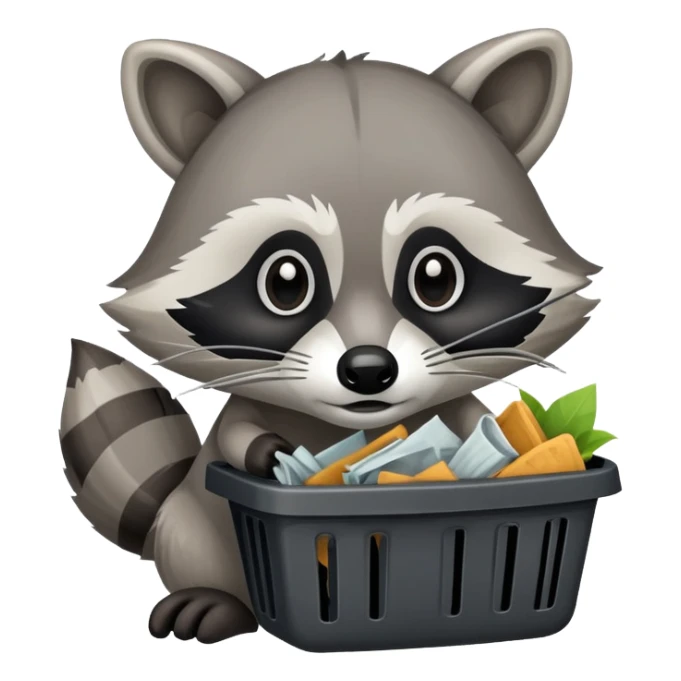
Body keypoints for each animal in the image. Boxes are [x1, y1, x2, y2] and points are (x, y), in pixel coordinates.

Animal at [63, 29, 599, 644]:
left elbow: (478, 422)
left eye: (435, 277)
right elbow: (239, 435)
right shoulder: (244, 417)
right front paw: (271, 453)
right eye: (285, 281)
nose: (368, 369)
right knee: (193, 544)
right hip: (191, 523)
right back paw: (214, 597)